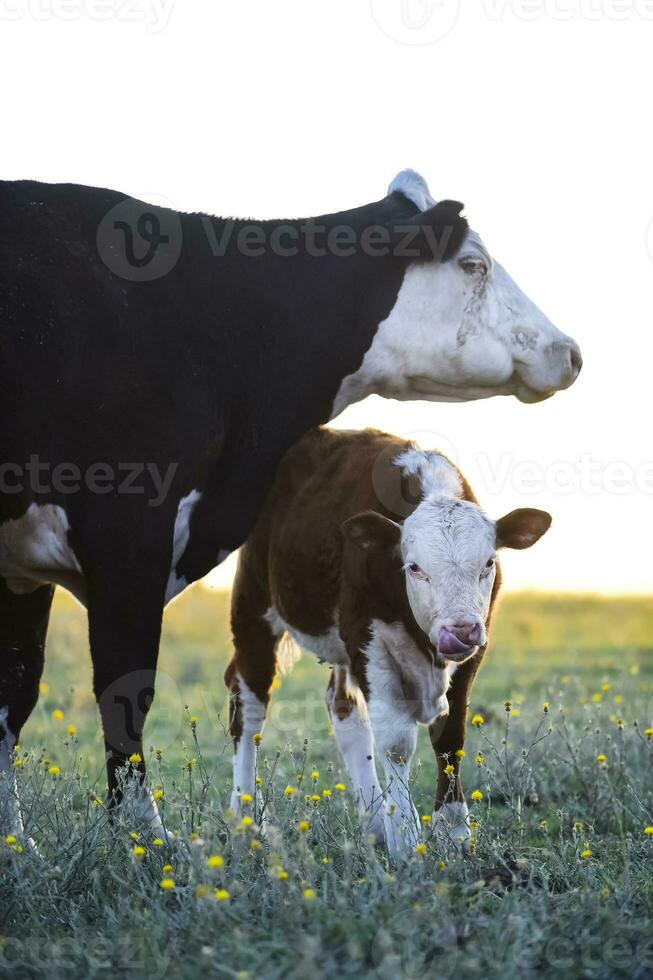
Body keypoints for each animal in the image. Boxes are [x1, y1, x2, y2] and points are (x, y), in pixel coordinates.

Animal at [224, 428, 552, 856]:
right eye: (414, 567)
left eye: (488, 563)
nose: (460, 630)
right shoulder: (367, 640)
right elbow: (396, 741)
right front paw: (407, 839)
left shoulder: (474, 649)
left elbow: (451, 735)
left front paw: (454, 830)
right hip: (255, 607)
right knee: (249, 703)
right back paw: (245, 816)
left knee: (343, 707)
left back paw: (375, 823)